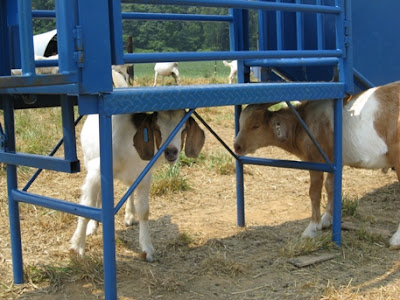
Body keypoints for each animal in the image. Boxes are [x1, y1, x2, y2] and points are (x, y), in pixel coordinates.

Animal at [233, 80, 400, 248]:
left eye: (256, 125)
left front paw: (312, 228)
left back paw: (396, 240)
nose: (237, 146)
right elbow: (331, 186)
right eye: (241, 123)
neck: (305, 122)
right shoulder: (334, 161)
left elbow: (314, 192)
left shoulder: (315, 161)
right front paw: (326, 219)